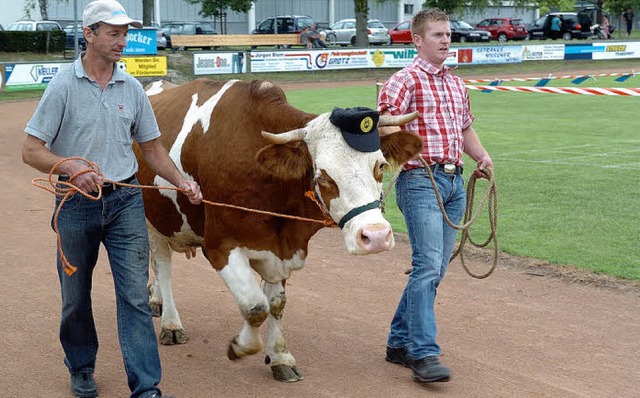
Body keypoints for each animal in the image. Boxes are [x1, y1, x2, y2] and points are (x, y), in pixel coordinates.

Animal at [138, 78, 422, 382]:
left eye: (380, 165)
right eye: (323, 176)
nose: (376, 236)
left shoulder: (279, 248)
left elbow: (275, 304)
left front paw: (280, 357)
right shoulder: (219, 246)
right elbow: (255, 306)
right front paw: (241, 346)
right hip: (153, 219)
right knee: (163, 267)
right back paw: (171, 323)